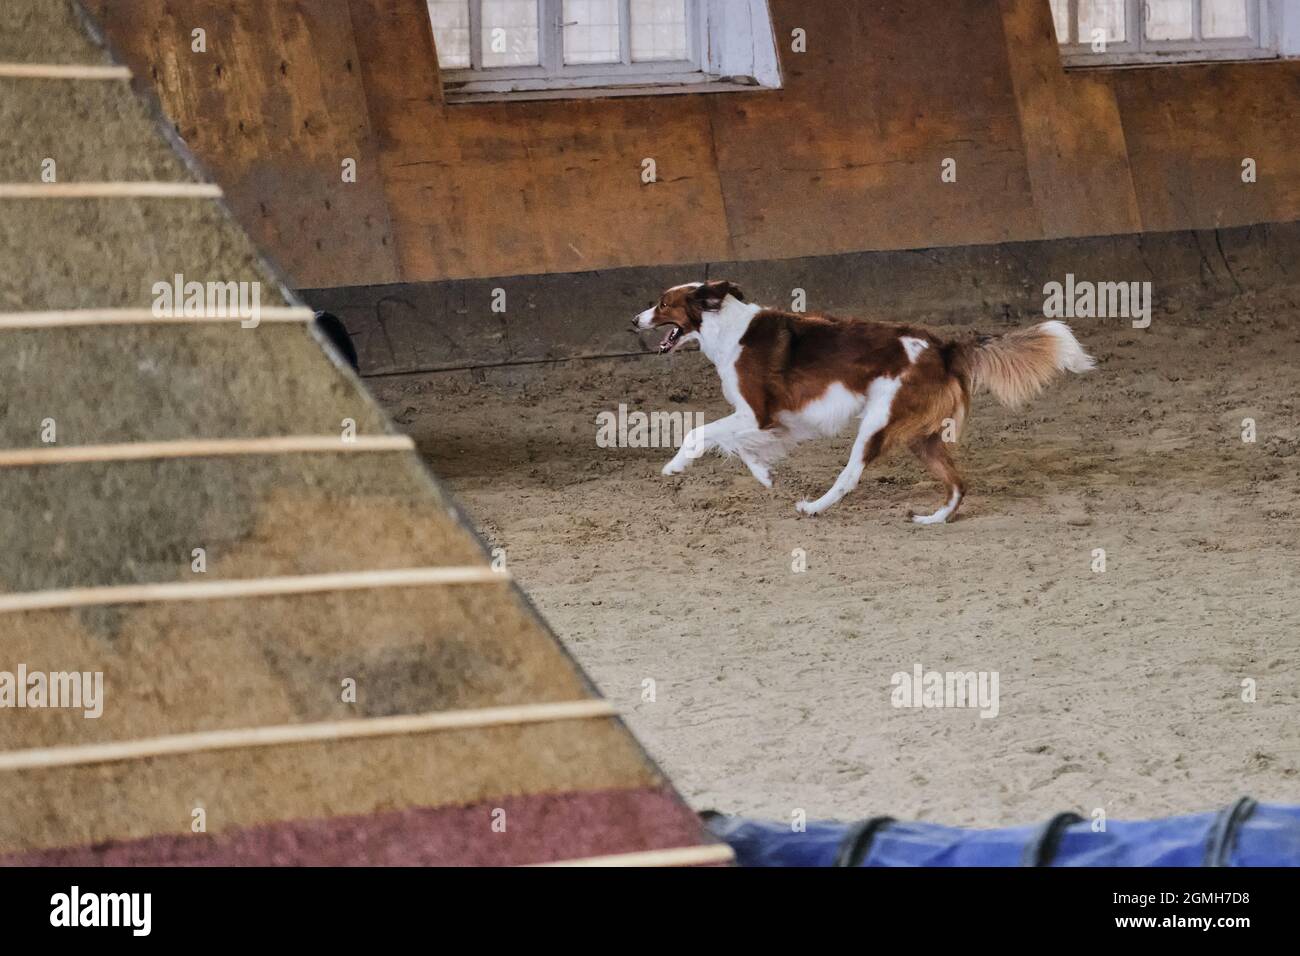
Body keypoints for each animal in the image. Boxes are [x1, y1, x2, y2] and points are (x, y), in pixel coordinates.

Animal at [634, 280, 1092, 528]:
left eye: (662, 303)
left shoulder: (757, 412)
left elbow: (700, 432)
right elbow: (744, 446)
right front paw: (764, 474)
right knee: (958, 484)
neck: (727, 327)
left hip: (878, 422)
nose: (633, 320)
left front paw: (675, 466)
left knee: (851, 475)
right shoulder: (775, 420)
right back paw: (932, 519)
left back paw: (814, 507)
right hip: (921, 436)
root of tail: (943, 347)